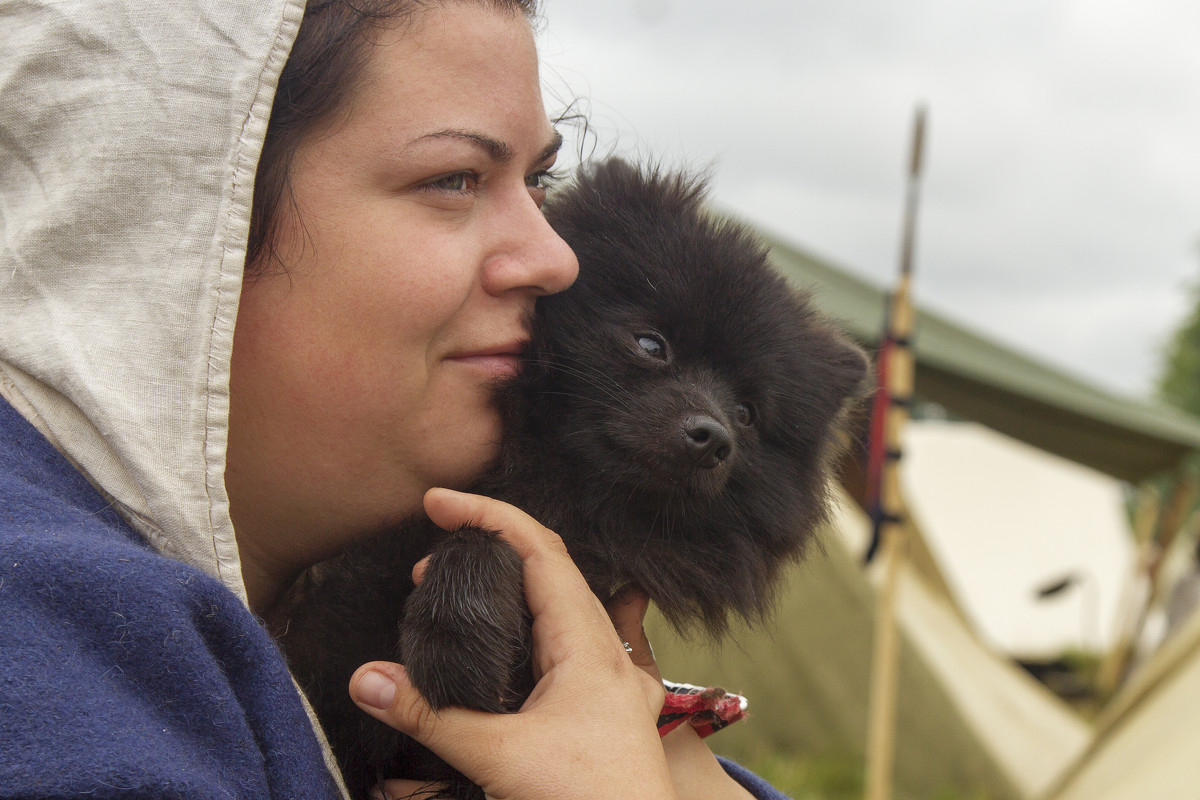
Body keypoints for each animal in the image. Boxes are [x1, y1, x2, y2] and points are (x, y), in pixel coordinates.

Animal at [274, 159, 864, 796]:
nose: (714, 436)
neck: (558, 494)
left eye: (749, 414)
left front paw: (454, 639)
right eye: (651, 344)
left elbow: (483, 535)